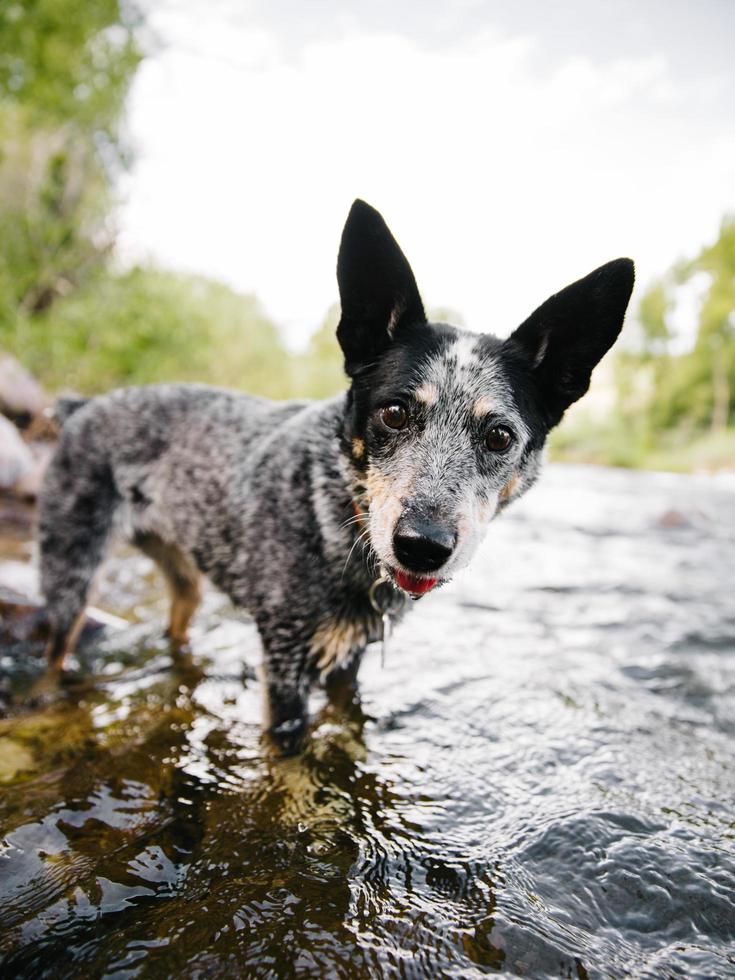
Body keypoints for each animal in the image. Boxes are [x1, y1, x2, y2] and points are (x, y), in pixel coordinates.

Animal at [36, 199, 632, 752]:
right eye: (395, 413)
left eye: (499, 437)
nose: (422, 546)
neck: (335, 515)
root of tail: (81, 406)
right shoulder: (285, 663)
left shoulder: (349, 662)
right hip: (70, 575)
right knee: (54, 651)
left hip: (184, 578)